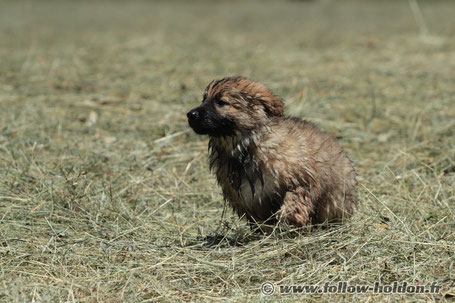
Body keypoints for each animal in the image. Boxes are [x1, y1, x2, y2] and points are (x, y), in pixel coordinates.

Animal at [187, 77, 358, 232]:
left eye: (221, 102)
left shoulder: (302, 175)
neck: (246, 147)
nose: (190, 114)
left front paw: (292, 215)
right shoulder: (247, 199)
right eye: (203, 99)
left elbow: (295, 196)